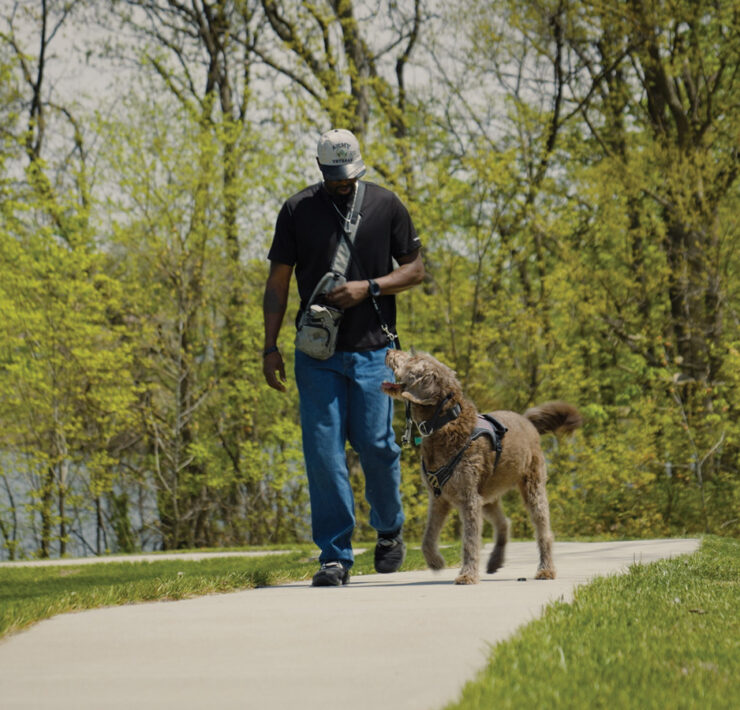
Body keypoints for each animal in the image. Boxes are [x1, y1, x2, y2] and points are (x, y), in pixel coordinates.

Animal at [382, 354, 584, 588]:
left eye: (413, 358)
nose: (388, 352)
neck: (444, 424)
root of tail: (527, 421)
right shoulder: (439, 497)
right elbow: (428, 536)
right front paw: (435, 562)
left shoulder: (469, 498)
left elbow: (470, 540)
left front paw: (467, 575)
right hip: (487, 495)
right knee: (504, 523)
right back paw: (495, 561)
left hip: (532, 487)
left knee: (544, 532)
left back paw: (546, 570)